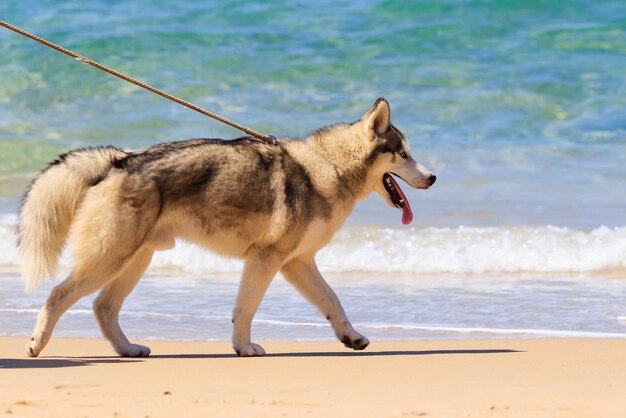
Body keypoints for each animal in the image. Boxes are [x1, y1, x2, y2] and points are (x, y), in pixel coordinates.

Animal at [17, 98, 432, 356]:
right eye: (404, 154)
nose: (433, 178)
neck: (327, 168)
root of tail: (121, 159)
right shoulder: (266, 260)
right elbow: (246, 309)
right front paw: (244, 348)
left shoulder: (297, 263)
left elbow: (332, 301)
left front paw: (351, 336)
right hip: (111, 258)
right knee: (58, 295)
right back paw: (36, 343)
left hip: (136, 259)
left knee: (103, 307)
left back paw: (128, 349)